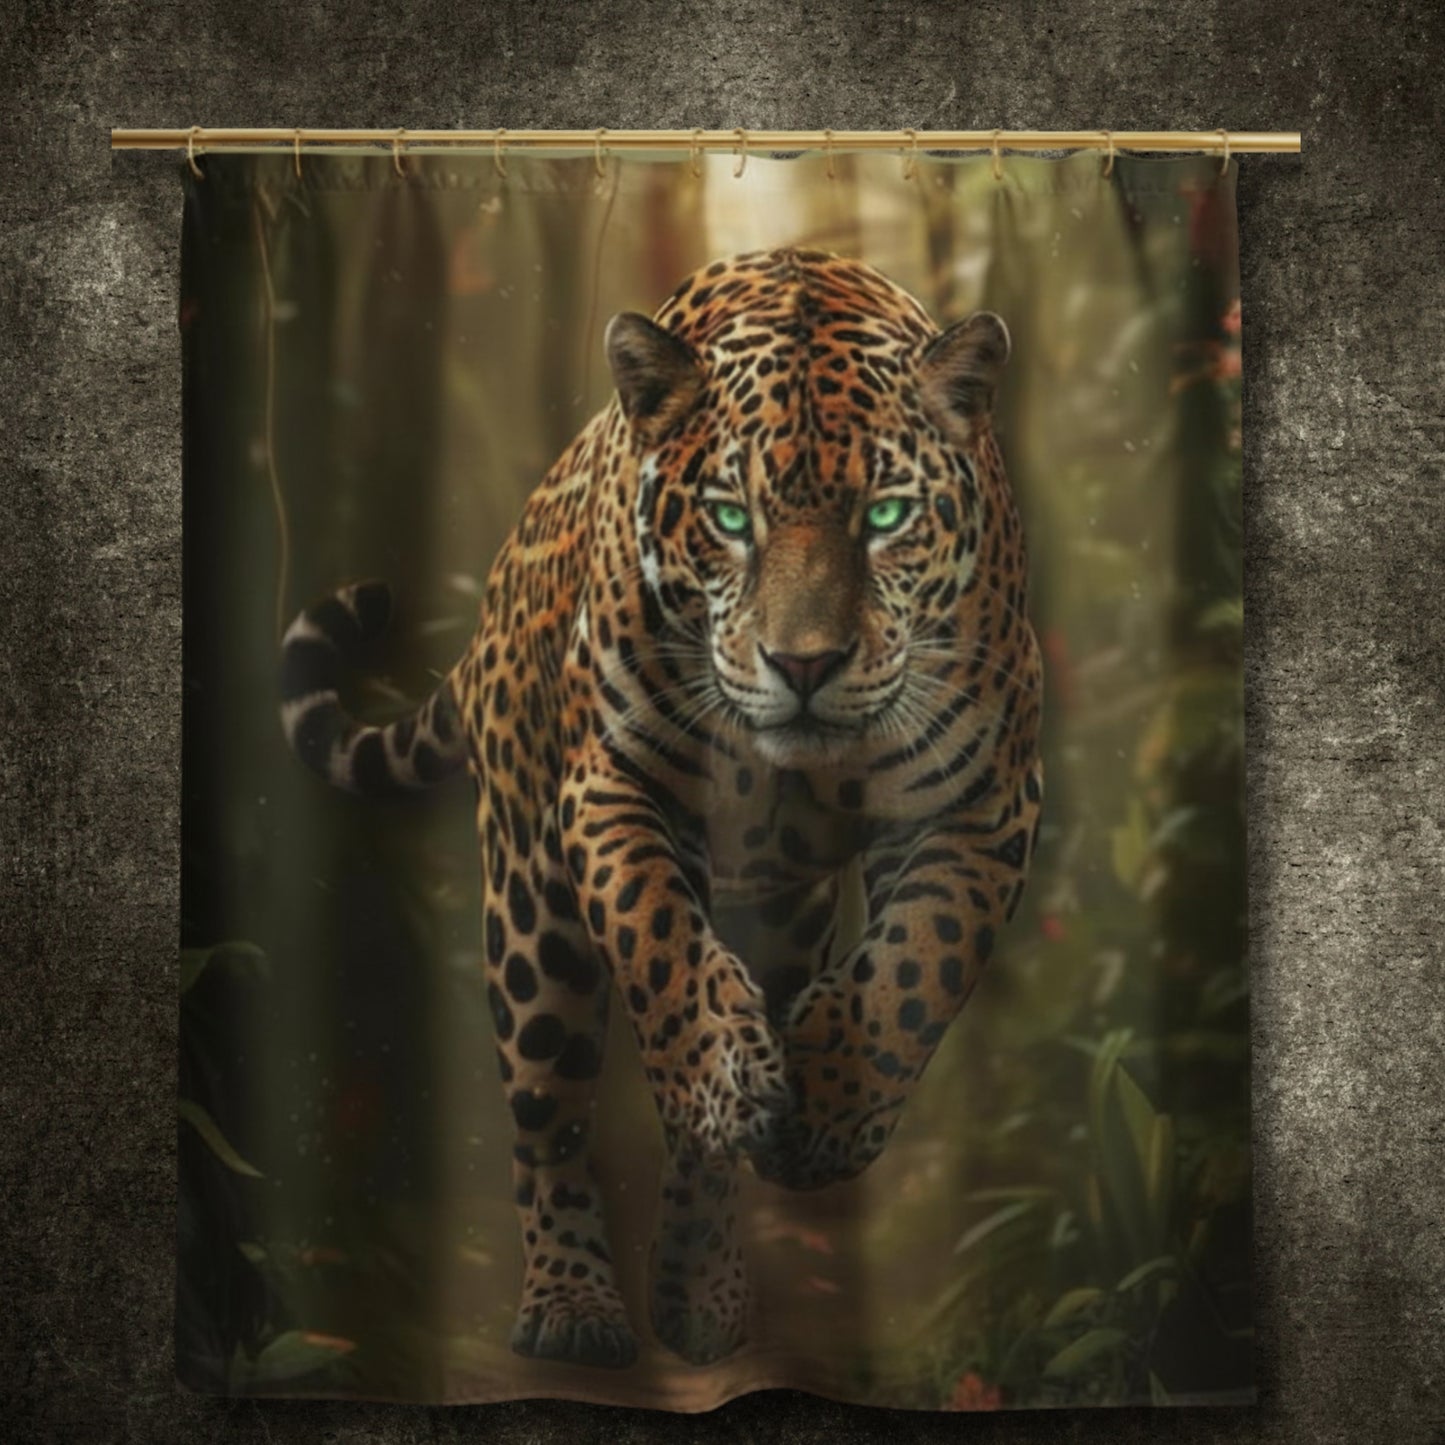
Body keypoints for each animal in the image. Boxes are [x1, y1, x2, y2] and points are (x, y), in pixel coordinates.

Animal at [279, 247, 1043, 1371]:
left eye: (885, 517)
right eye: (730, 519)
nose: (803, 665)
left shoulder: (983, 799)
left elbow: (916, 967)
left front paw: (828, 1110)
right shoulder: (611, 781)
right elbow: (655, 933)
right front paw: (726, 1072)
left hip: (783, 919)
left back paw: (700, 1283)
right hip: (530, 908)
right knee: (546, 1115)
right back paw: (574, 1303)